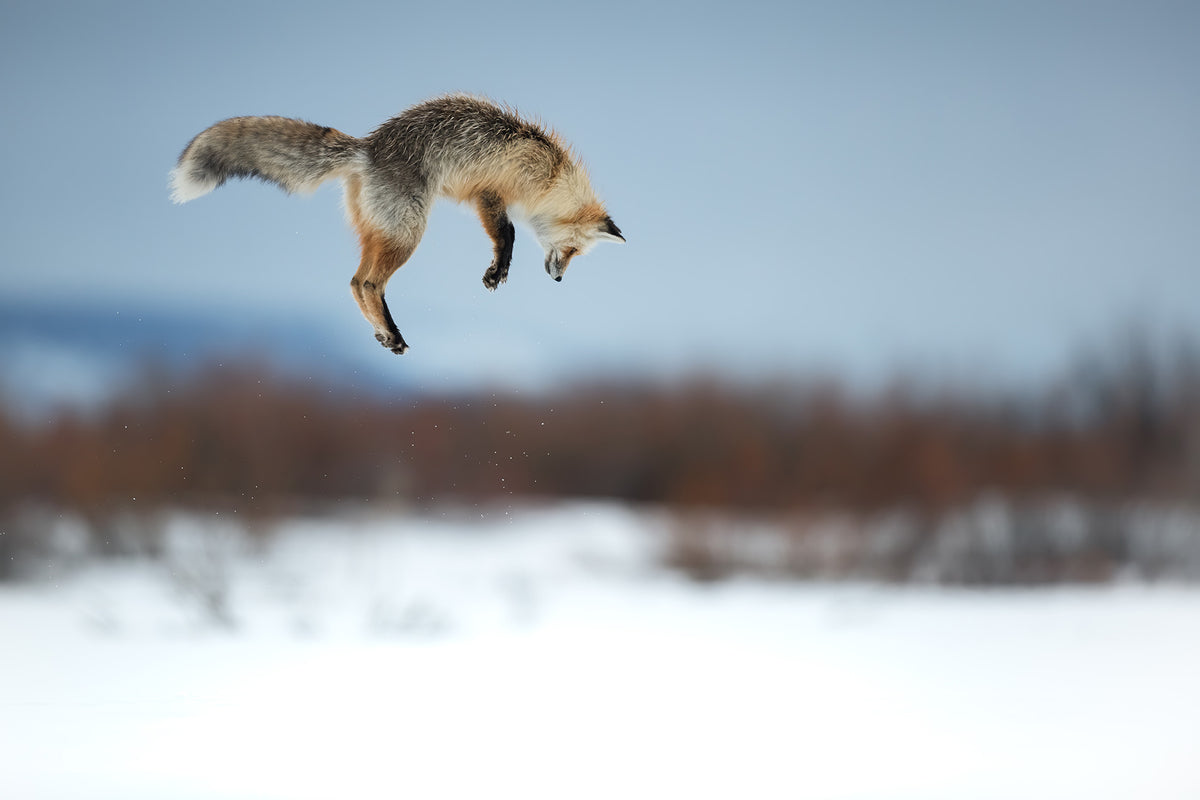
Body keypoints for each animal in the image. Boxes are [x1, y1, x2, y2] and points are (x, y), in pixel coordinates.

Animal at [170, 94, 624, 355]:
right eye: (572, 250)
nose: (559, 280)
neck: (550, 175)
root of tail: (368, 147)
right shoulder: (489, 193)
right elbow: (507, 234)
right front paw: (497, 272)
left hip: (382, 233)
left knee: (356, 283)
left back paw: (386, 334)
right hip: (408, 233)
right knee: (368, 282)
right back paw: (393, 333)